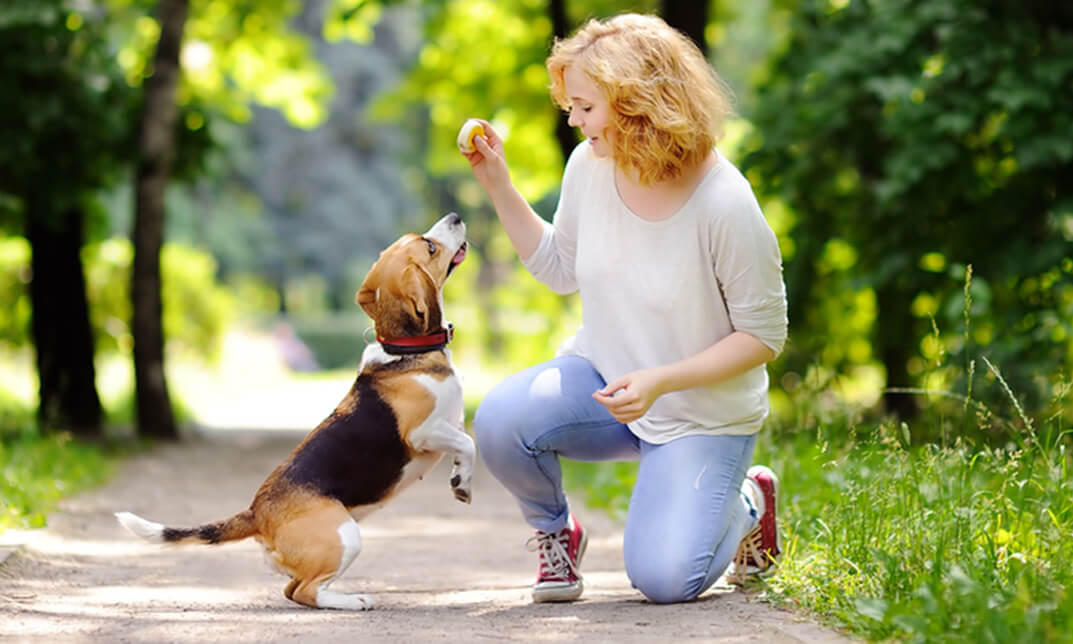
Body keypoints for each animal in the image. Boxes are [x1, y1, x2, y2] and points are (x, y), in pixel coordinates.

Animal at [112, 212, 474, 609]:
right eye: (430, 246)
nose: (455, 216)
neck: (405, 350)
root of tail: (257, 513)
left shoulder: (450, 425)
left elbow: (464, 444)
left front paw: (460, 479)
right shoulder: (423, 432)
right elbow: (469, 442)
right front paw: (463, 483)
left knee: (294, 591)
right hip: (345, 536)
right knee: (307, 591)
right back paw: (353, 600)